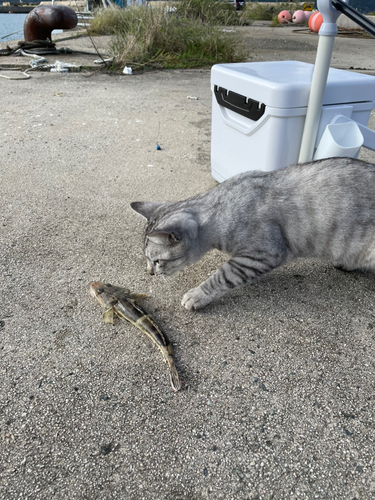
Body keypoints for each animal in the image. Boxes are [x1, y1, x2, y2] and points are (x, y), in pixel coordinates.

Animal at [131, 158, 375, 310]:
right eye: (148, 261)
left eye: (156, 261)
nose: (149, 273)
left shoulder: (262, 254)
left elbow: (222, 276)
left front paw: (198, 295)